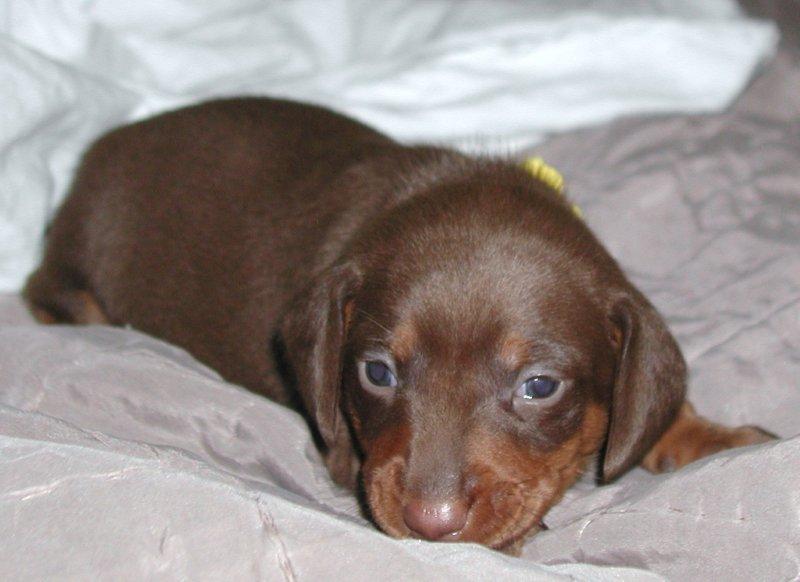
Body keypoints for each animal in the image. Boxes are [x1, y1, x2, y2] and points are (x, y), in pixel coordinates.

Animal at [25, 98, 776, 556]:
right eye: (377, 371)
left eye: (539, 387)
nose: (428, 524)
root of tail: (96, 154)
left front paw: (711, 436)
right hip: (75, 279)